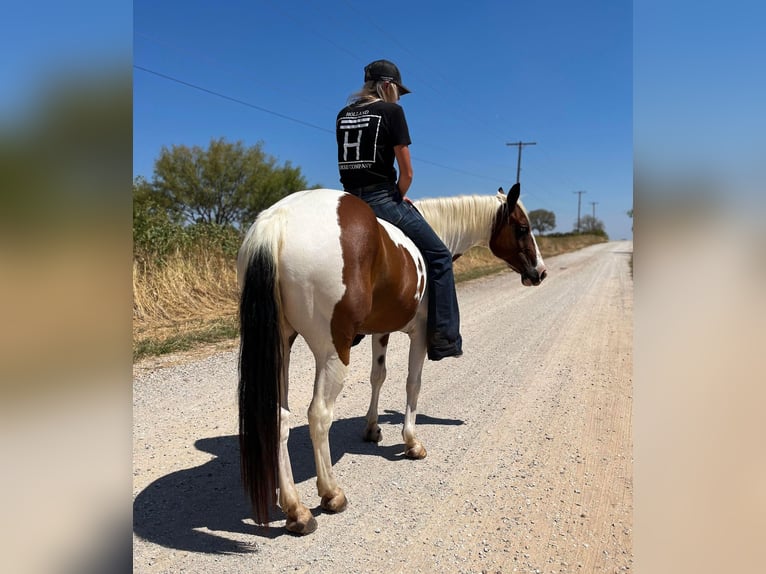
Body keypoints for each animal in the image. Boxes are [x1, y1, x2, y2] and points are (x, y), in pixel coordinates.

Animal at [238, 183, 544, 536]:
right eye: (522, 228)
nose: (540, 272)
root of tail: (278, 220)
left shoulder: (380, 331)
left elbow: (378, 376)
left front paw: (372, 428)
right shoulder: (420, 334)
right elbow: (413, 383)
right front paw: (411, 442)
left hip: (281, 345)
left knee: (280, 418)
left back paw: (295, 508)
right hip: (332, 351)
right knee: (319, 415)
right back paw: (330, 493)